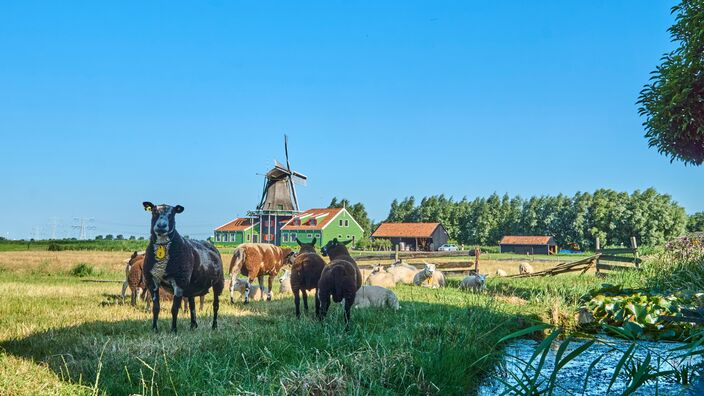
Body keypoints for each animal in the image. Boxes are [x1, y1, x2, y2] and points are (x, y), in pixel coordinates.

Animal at [141, 201, 223, 334]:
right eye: (154, 212)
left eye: (172, 214)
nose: (161, 226)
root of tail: (210, 244)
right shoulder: (152, 281)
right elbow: (155, 308)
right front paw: (154, 329)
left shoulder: (179, 282)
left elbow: (174, 309)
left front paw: (174, 330)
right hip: (191, 286)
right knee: (192, 305)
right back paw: (193, 325)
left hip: (218, 283)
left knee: (215, 305)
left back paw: (214, 326)